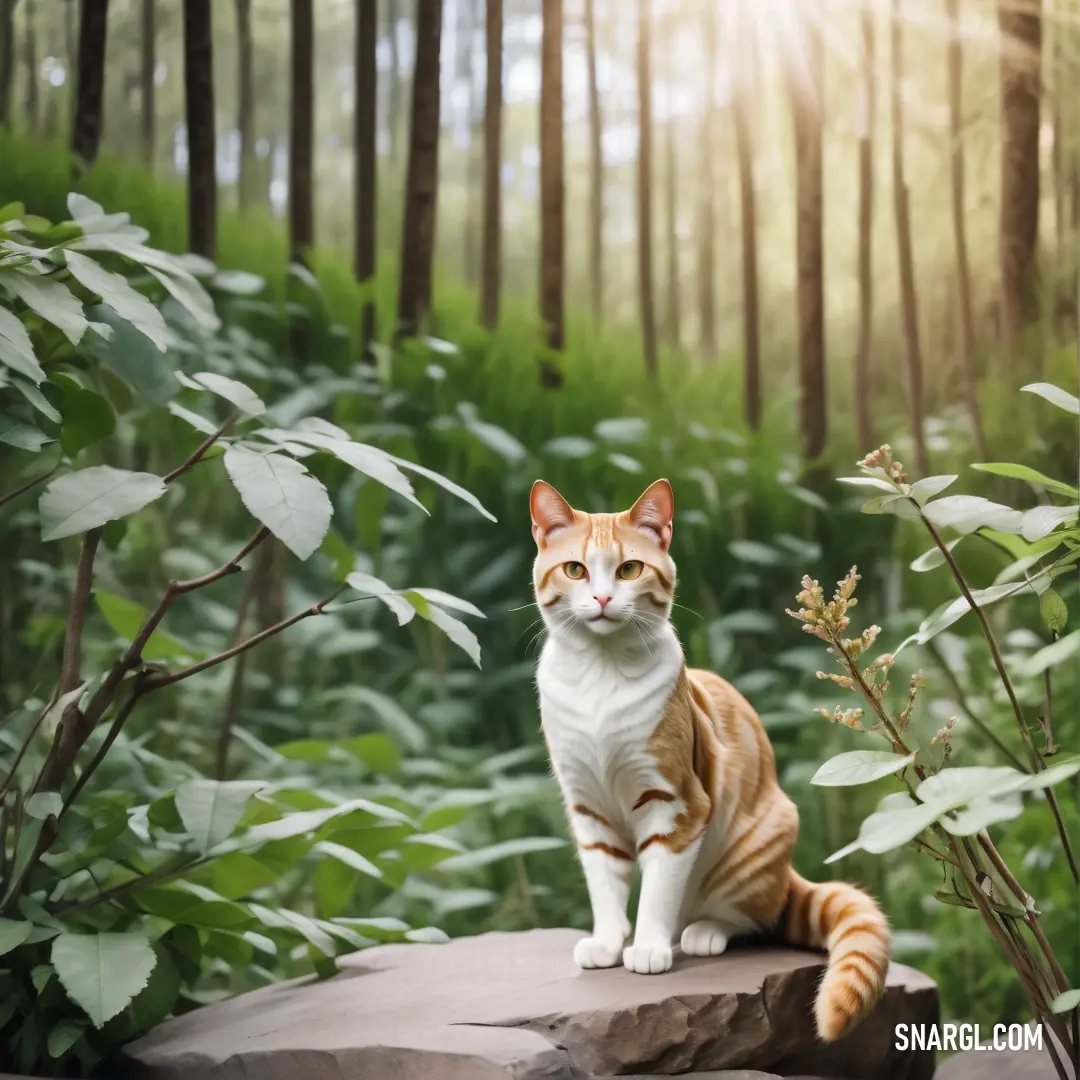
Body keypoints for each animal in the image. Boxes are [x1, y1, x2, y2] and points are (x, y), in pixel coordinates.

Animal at [527, 477, 889, 1041]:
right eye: (576, 570)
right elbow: (605, 885)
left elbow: (657, 890)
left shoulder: (675, 803)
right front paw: (608, 942)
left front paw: (648, 948)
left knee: (752, 918)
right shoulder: (588, 807)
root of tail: (787, 875)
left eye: (629, 569)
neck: (599, 676)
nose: (604, 597)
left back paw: (701, 932)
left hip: (758, 839)